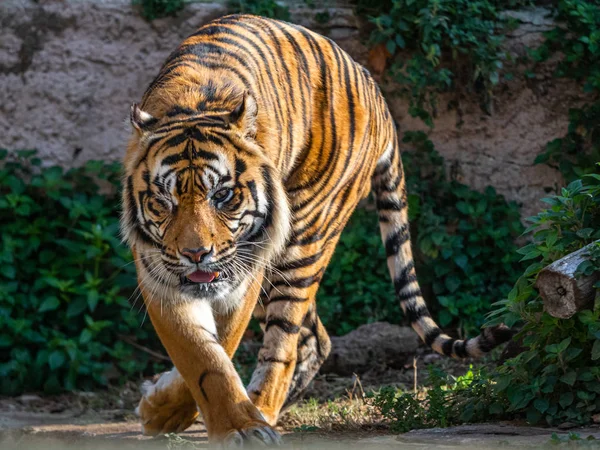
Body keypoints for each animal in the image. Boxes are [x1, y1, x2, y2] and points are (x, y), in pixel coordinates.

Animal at [120, 14, 510, 446]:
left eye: (222, 195)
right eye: (164, 201)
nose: (195, 254)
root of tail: (374, 89)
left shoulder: (238, 279)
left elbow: (217, 354)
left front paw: (233, 425)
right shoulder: (161, 277)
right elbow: (202, 358)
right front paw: (167, 412)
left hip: (304, 241)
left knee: (286, 346)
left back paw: (262, 409)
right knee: (316, 340)